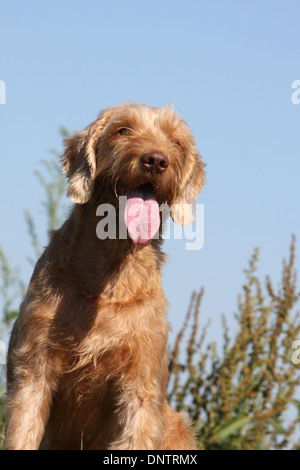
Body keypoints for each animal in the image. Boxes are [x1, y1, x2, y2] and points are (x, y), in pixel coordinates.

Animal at [4, 103, 206, 452]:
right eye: (123, 130)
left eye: (177, 142)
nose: (156, 160)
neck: (110, 276)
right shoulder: (33, 368)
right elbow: (23, 430)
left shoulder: (140, 384)